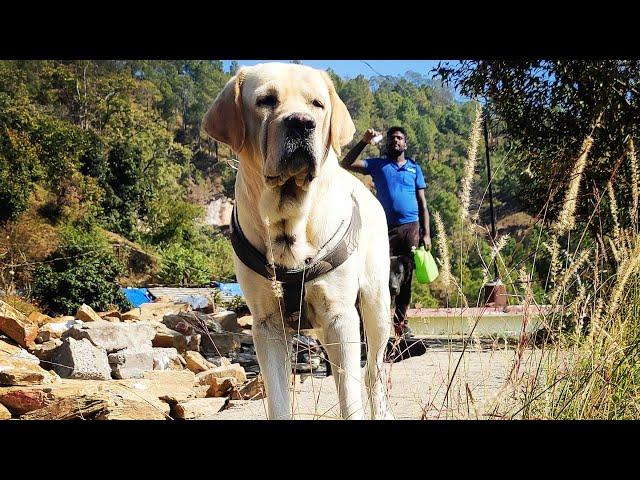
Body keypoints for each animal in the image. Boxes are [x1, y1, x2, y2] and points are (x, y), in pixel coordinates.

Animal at [202, 63, 392, 420]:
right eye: (265, 100)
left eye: (317, 104)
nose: (301, 122)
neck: (288, 223)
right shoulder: (266, 324)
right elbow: (277, 398)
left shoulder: (340, 316)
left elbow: (350, 397)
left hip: (377, 305)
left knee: (373, 372)